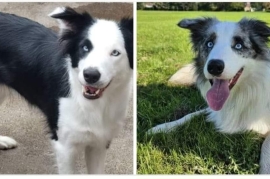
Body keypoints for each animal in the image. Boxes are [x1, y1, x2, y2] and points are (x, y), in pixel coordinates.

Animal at [0, 6, 133, 173]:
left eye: (115, 52)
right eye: (85, 47)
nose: (90, 75)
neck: (92, 104)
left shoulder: (100, 143)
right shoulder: (64, 145)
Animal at [149, 17, 270, 173]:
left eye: (239, 45)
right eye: (209, 43)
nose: (214, 66)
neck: (238, 95)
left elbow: (266, 146)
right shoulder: (213, 110)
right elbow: (189, 115)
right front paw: (161, 127)